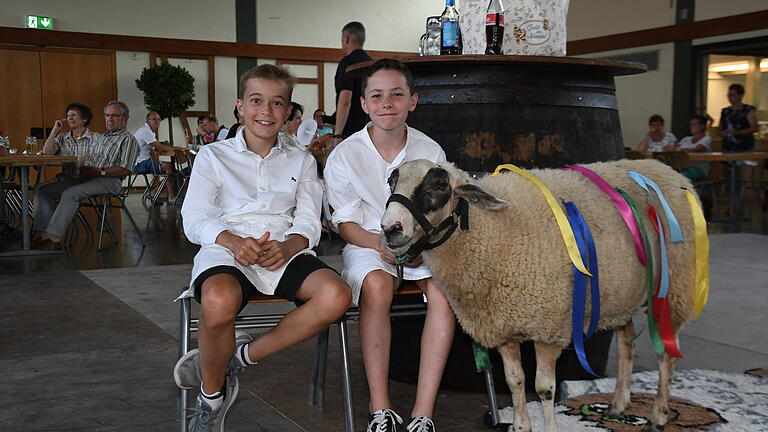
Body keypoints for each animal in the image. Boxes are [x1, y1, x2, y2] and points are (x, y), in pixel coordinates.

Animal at [380, 159, 700, 432]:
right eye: (391, 183)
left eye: (439, 186)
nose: (390, 229)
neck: (493, 231)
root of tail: (669, 171)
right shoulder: (503, 326)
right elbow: (515, 381)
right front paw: (521, 426)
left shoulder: (549, 329)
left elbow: (545, 389)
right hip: (621, 295)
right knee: (626, 341)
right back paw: (619, 404)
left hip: (672, 290)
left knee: (665, 355)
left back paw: (658, 415)